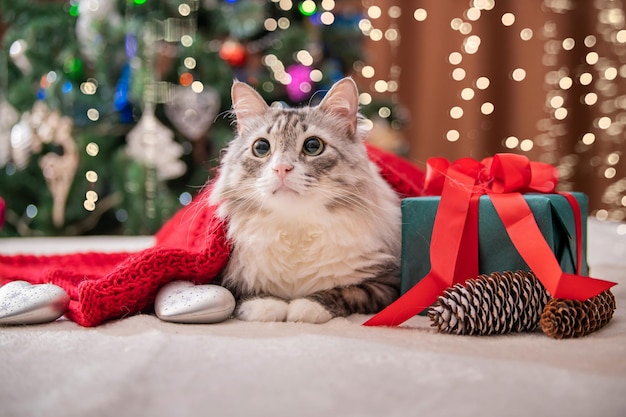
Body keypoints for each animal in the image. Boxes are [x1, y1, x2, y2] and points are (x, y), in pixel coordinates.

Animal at [207, 77, 398, 322]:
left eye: (313, 146)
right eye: (261, 147)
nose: (281, 168)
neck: (294, 227)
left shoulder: (387, 283)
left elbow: (347, 291)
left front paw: (305, 307)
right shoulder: (221, 276)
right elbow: (237, 292)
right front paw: (266, 305)